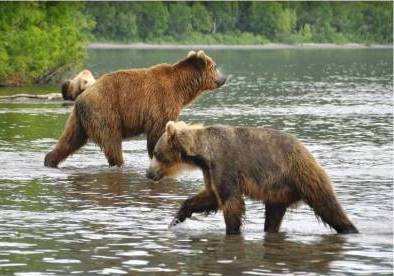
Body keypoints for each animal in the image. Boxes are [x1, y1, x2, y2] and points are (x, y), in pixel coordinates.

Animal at [44, 50, 226, 168]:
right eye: (215, 66)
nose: (224, 78)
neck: (181, 88)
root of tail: (80, 98)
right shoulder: (161, 103)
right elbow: (157, 133)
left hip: (78, 120)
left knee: (69, 140)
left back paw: (49, 160)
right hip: (105, 111)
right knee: (112, 142)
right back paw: (119, 163)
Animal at [146, 121, 358, 235]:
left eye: (155, 153)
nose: (148, 173)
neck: (203, 154)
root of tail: (306, 151)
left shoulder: (225, 164)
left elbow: (231, 200)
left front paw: (232, 230)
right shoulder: (210, 171)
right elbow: (210, 197)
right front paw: (175, 220)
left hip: (301, 174)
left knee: (327, 205)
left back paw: (349, 229)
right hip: (278, 192)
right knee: (273, 216)